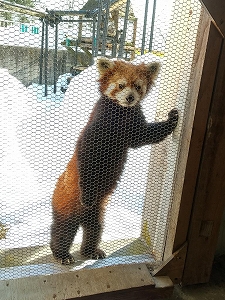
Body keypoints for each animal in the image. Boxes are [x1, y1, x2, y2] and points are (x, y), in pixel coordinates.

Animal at [50, 57, 178, 264]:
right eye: (121, 85)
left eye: (137, 86)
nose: (130, 97)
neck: (122, 113)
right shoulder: (96, 129)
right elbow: (87, 159)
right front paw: (88, 195)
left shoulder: (133, 127)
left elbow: (144, 136)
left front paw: (171, 120)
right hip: (67, 203)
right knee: (63, 230)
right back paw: (61, 254)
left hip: (98, 213)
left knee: (95, 229)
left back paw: (91, 250)